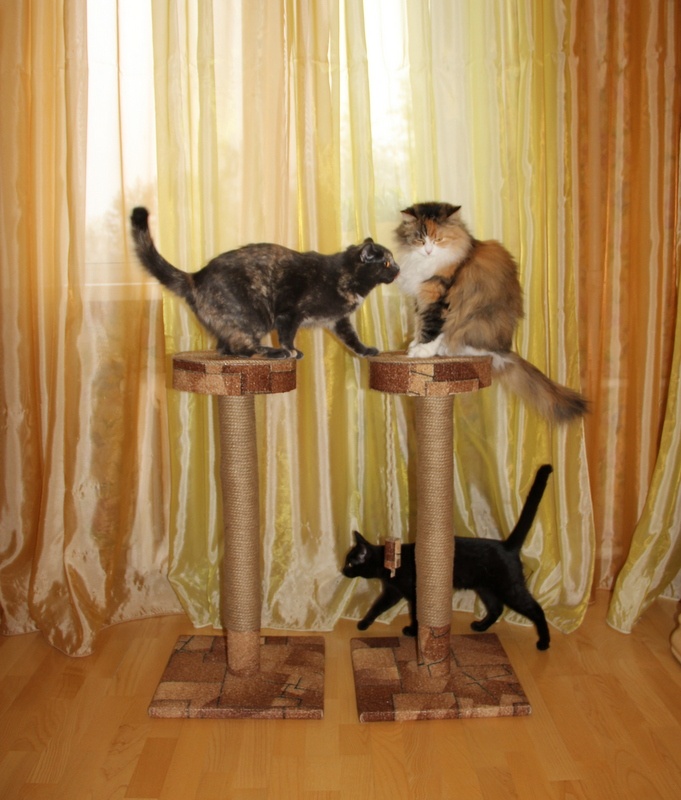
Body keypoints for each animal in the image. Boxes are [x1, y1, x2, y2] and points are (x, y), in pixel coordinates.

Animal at [130, 207, 399, 359]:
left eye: (393, 261)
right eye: (386, 263)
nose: (398, 268)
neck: (345, 276)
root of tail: (196, 275)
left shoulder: (338, 320)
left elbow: (352, 338)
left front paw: (366, 351)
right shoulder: (289, 313)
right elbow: (288, 335)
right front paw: (290, 350)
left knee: (226, 348)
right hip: (255, 317)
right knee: (242, 346)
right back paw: (275, 353)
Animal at [342, 464, 553, 650]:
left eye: (351, 563)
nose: (343, 570)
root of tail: (507, 546)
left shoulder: (412, 594)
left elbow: (416, 614)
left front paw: (412, 631)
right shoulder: (392, 592)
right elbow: (377, 607)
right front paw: (364, 624)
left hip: (509, 587)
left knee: (536, 610)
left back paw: (543, 643)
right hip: (485, 588)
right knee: (496, 608)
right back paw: (480, 627)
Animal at [394, 202, 587, 423]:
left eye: (438, 239)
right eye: (420, 239)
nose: (428, 250)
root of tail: (505, 349)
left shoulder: (438, 296)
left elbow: (432, 327)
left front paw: (422, 352)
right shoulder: (421, 296)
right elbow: (420, 323)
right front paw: (414, 345)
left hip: (478, 323)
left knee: (475, 348)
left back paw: (446, 350)